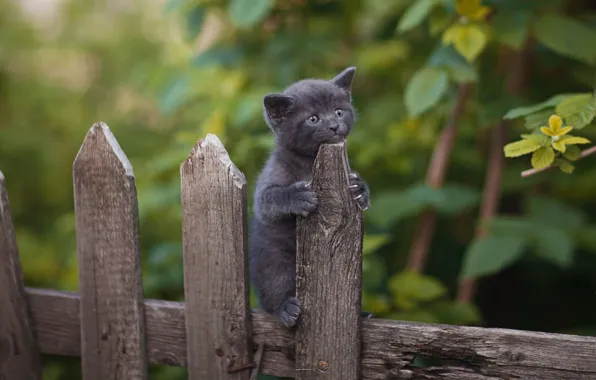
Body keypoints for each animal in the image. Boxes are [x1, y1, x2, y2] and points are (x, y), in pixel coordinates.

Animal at [249, 67, 370, 328]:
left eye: (338, 111)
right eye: (313, 119)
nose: (334, 125)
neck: (308, 163)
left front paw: (361, 190)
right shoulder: (267, 185)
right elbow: (269, 198)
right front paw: (298, 196)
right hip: (273, 259)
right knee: (275, 287)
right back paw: (286, 309)